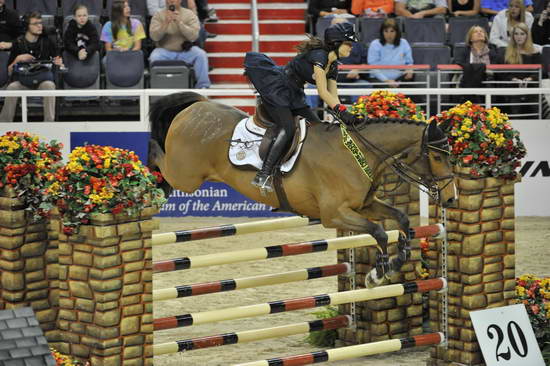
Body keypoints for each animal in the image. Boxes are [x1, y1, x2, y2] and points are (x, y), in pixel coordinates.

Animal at [149, 92, 460, 286]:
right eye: (437, 157)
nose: (451, 197)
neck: (357, 153)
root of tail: (198, 106)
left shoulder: (364, 205)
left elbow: (402, 219)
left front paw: (398, 261)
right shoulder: (334, 215)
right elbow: (379, 232)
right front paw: (379, 272)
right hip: (186, 175)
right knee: (159, 157)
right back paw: (151, 182)